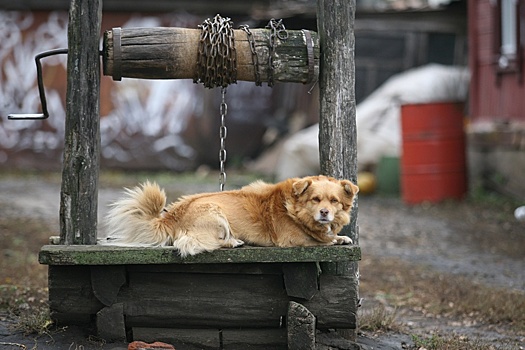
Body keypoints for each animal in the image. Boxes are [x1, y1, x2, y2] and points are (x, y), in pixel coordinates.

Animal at [103, 176, 356, 256]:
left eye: (334, 201)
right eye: (315, 200)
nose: (325, 212)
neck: (294, 207)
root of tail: (170, 216)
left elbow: (330, 236)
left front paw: (341, 237)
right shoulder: (292, 239)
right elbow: (318, 240)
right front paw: (332, 239)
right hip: (216, 214)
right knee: (197, 244)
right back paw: (233, 241)